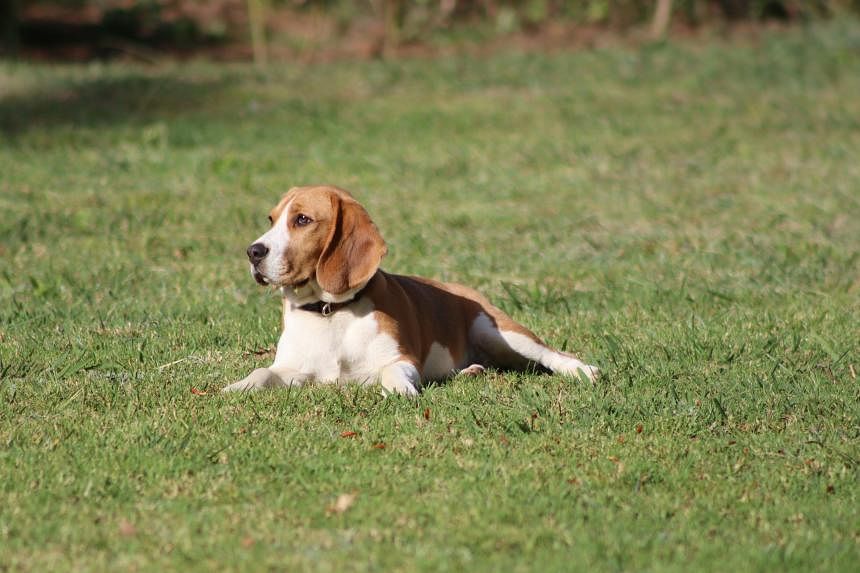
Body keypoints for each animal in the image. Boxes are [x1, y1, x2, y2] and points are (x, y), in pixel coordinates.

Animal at [222, 185, 596, 396]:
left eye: (302, 220)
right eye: (271, 220)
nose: (253, 252)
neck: (330, 314)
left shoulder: (401, 358)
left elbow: (392, 370)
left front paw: (401, 389)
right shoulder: (294, 369)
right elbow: (262, 372)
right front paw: (236, 387)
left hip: (498, 331)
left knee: (551, 354)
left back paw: (583, 371)